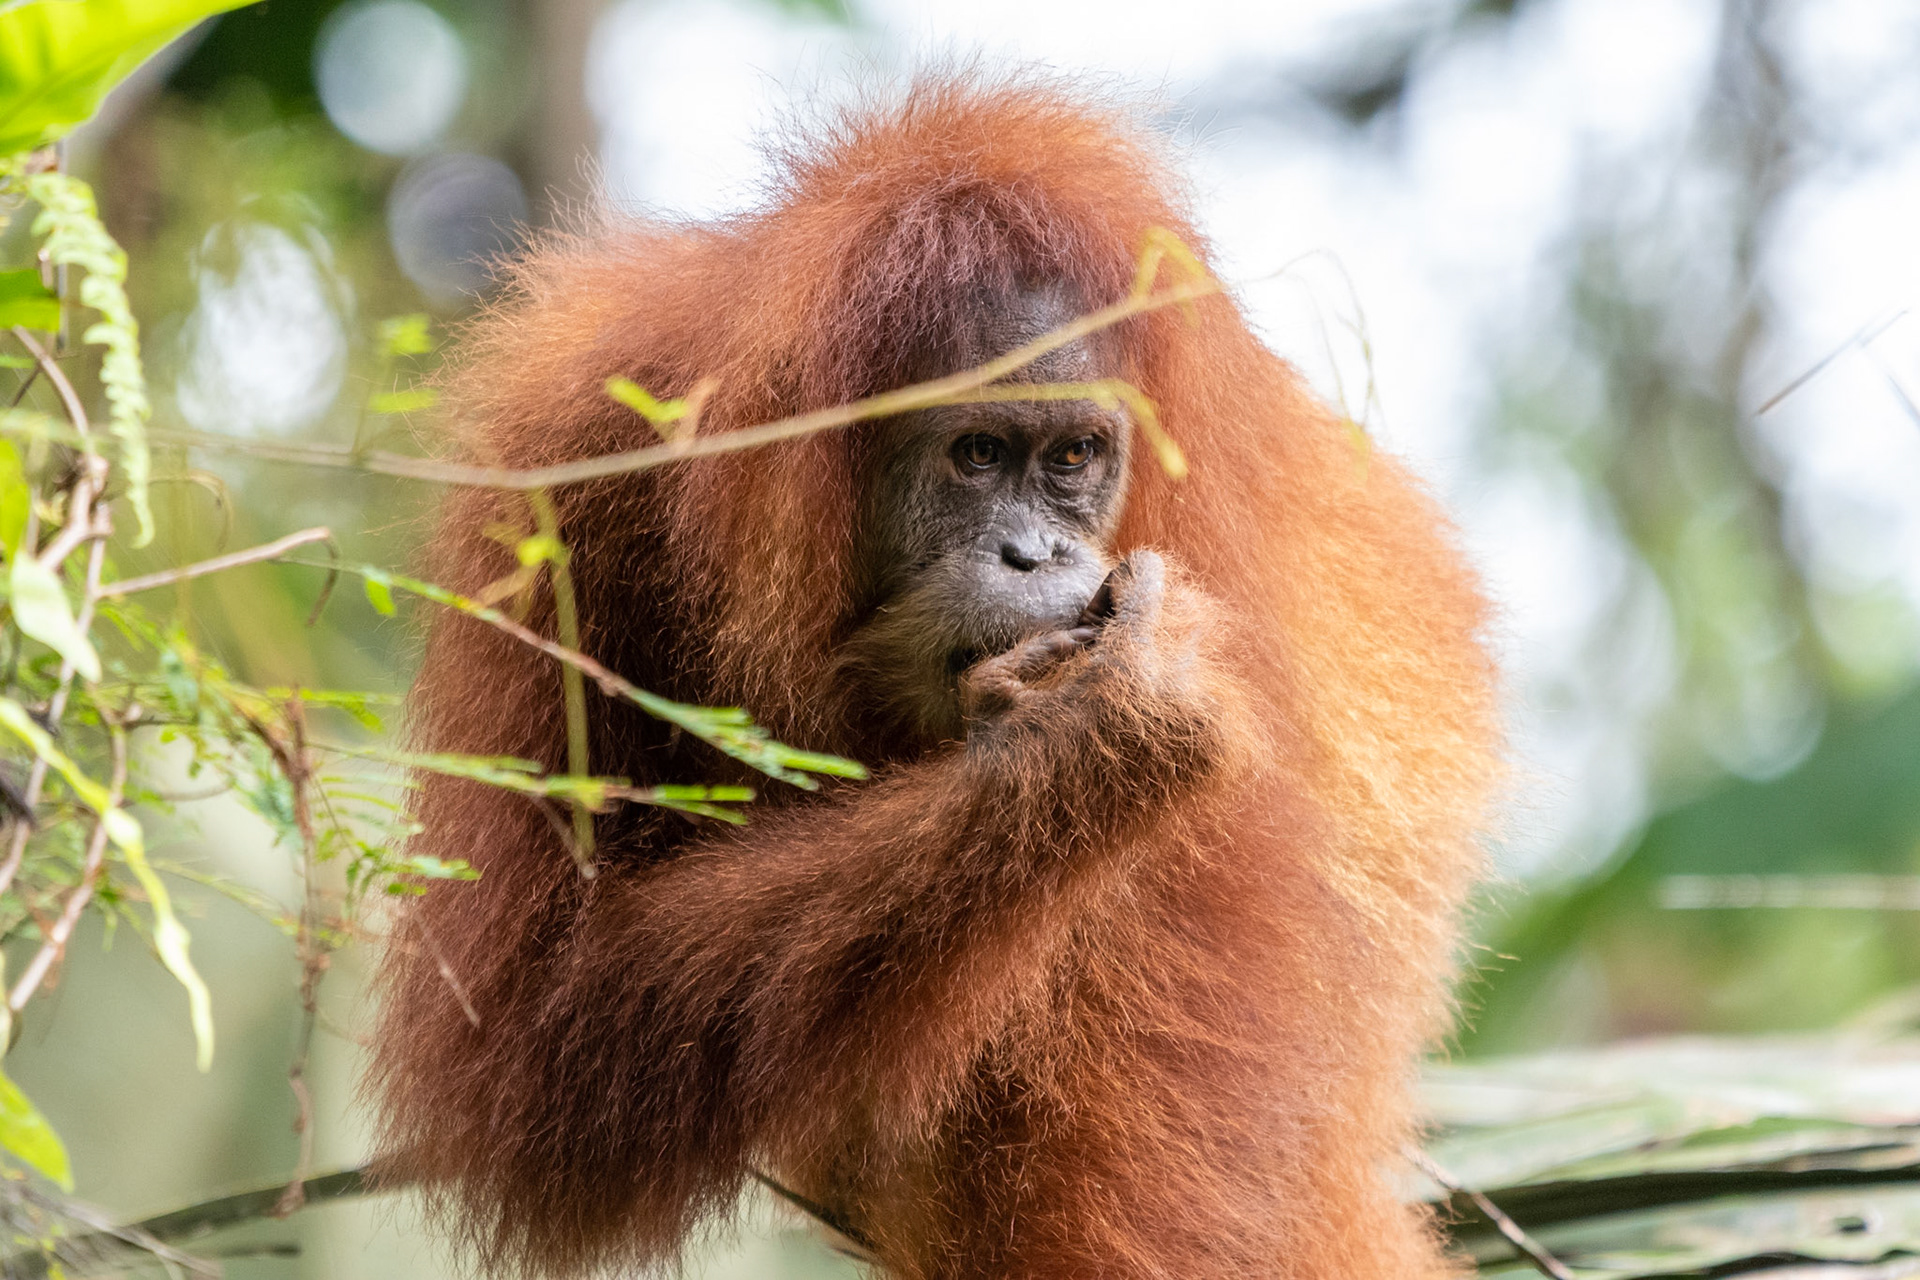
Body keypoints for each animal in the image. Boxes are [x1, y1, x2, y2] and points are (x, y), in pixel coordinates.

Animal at [367, 74, 1501, 1280]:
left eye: (1070, 459)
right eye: (978, 456)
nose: (1035, 556)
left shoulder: (1223, 584)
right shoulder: (563, 467)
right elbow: (527, 1035)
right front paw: (1094, 731)